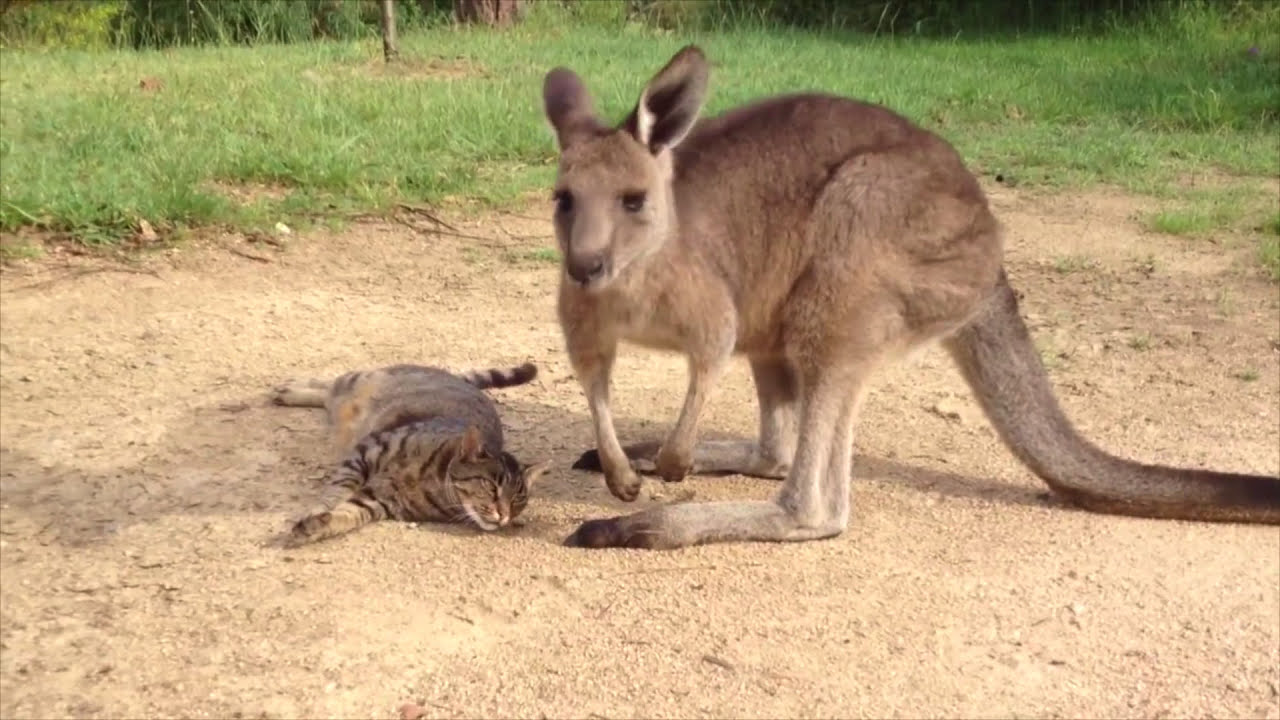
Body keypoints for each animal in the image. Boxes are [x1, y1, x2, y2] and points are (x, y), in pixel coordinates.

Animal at [270, 361, 550, 545]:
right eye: (491, 487)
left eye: (518, 499)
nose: (504, 516)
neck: (433, 480)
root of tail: (456, 379)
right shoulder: (366, 452)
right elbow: (337, 490)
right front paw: (318, 509)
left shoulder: (380, 501)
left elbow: (348, 514)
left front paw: (318, 526)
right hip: (362, 380)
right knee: (332, 383)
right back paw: (289, 389)